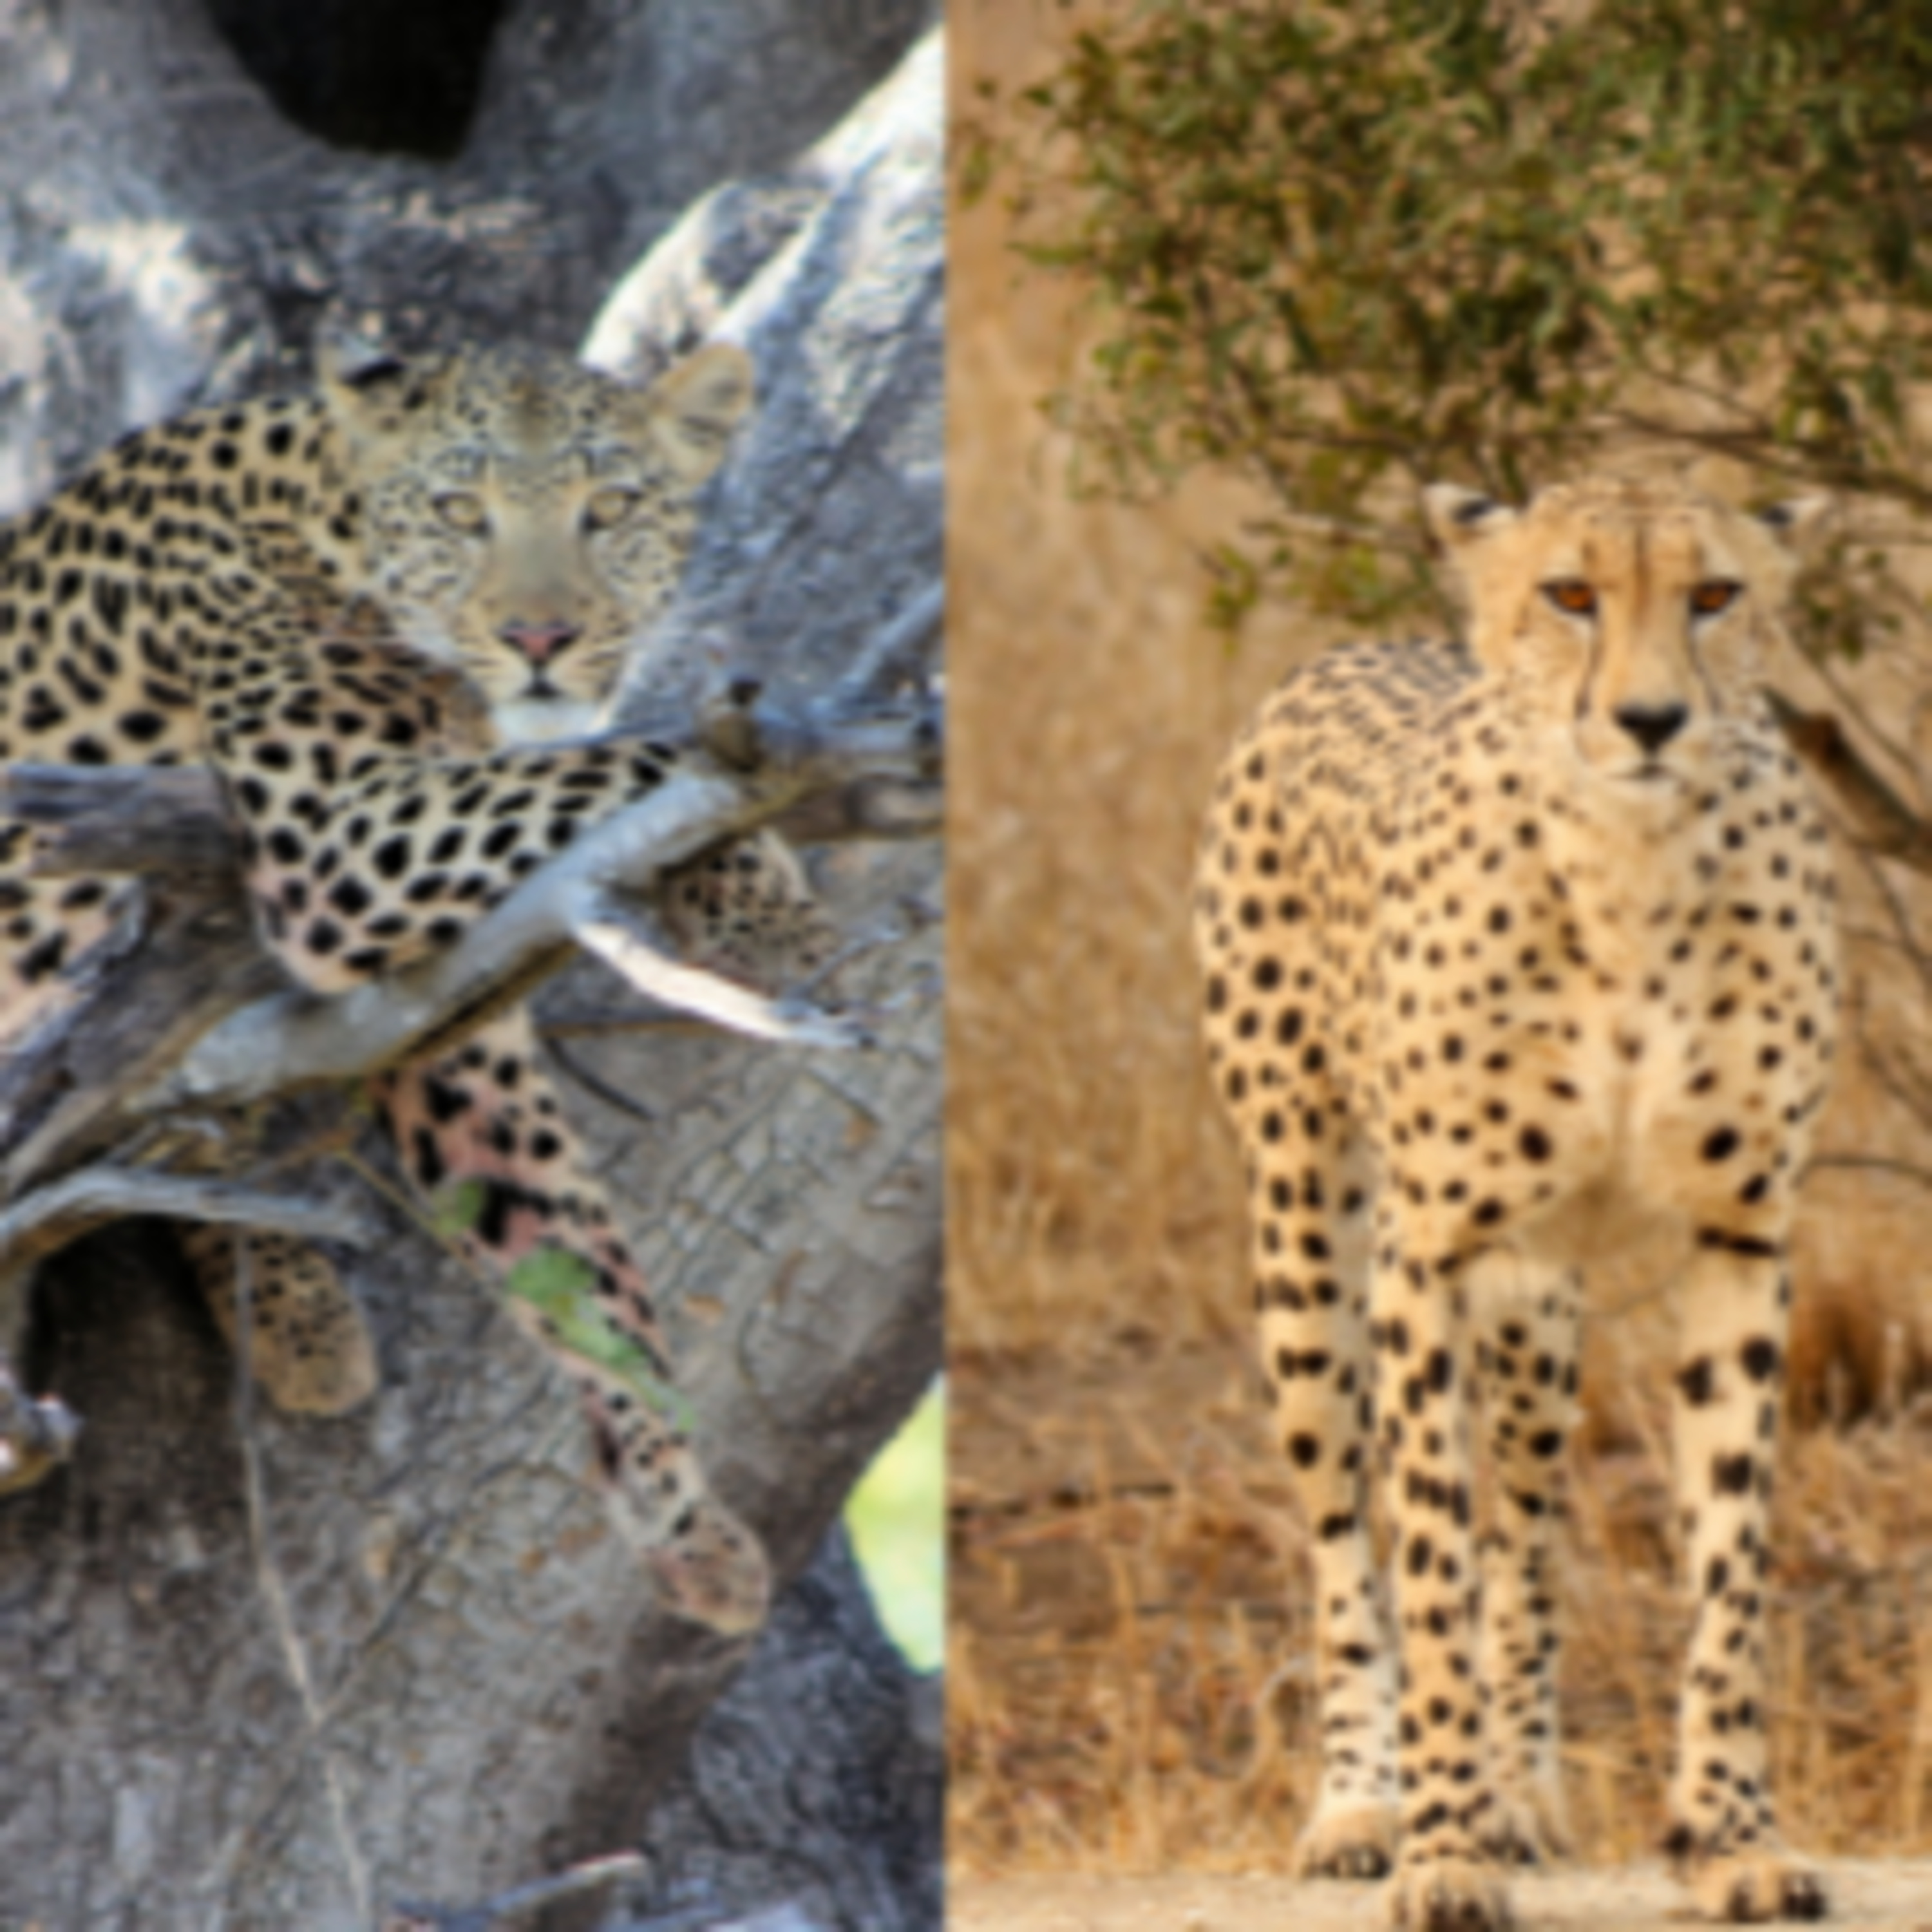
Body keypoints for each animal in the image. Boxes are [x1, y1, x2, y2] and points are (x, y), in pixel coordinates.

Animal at [0, 337, 835, 1635]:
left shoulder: (443, 999)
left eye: (610, 509)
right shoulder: (337, 829)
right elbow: (620, 756)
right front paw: (767, 895)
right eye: (459, 513)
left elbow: (565, 1235)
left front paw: (678, 1512)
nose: (541, 637)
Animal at [1194, 475, 1841, 1928]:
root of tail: (1353, 650)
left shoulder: (1740, 1238)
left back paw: (1523, 1797)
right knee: (1345, 1538)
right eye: (1572, 594)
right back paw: (1364, 1806)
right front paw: (1441, 1850)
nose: (1651, 721)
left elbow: (1726, 1570)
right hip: (1303, 1243)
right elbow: (1427, 1566)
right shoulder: (1423, 1255)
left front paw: (1732, 1838)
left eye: (1715, 594)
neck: (1631, 869)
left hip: (1541, 1322)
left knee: (1527, 1543)